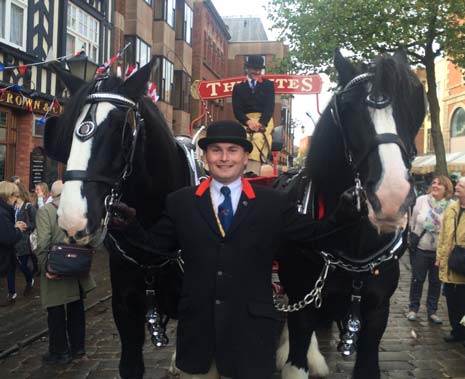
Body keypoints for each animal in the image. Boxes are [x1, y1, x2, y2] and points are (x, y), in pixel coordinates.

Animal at [276, 50, 424, 379]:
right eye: (346, 107)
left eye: (415, 101)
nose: (391, 195)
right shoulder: (301, 301)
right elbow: (297, 351)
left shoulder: (377, 311)